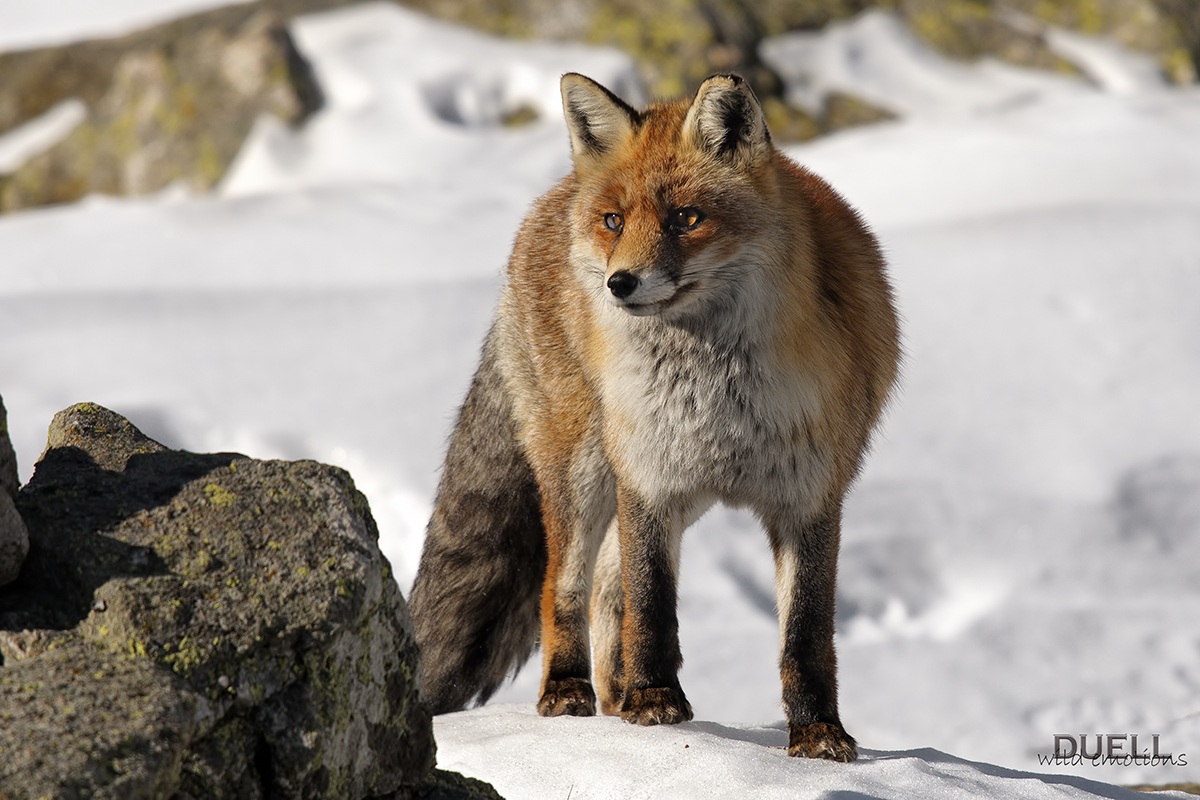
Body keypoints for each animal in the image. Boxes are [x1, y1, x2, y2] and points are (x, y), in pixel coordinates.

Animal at [409, 72, 900, 761]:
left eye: (686, 218)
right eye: (615, 221)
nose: (620, 283)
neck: (718, 396)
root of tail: (553, 195)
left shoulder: (809, 497)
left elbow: (804, 635)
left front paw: (818, 734)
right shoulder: (648, 476)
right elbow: (652, 604)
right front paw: (656, 702)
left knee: (606, 591)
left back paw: (614, 698)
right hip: (584, 470)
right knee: (566, 587)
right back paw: (571, 692)